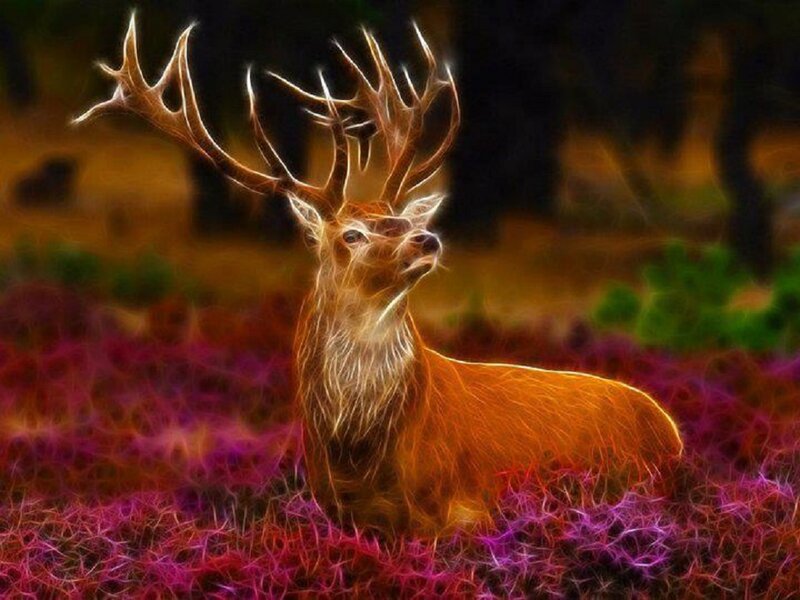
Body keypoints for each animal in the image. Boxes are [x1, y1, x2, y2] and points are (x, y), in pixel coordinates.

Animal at [75, 14, 683, 537]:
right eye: (351, 234)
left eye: (403, 220)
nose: (427, 239)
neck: (359, 458)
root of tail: (674, 431)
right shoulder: (337, 510)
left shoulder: (459, 507)